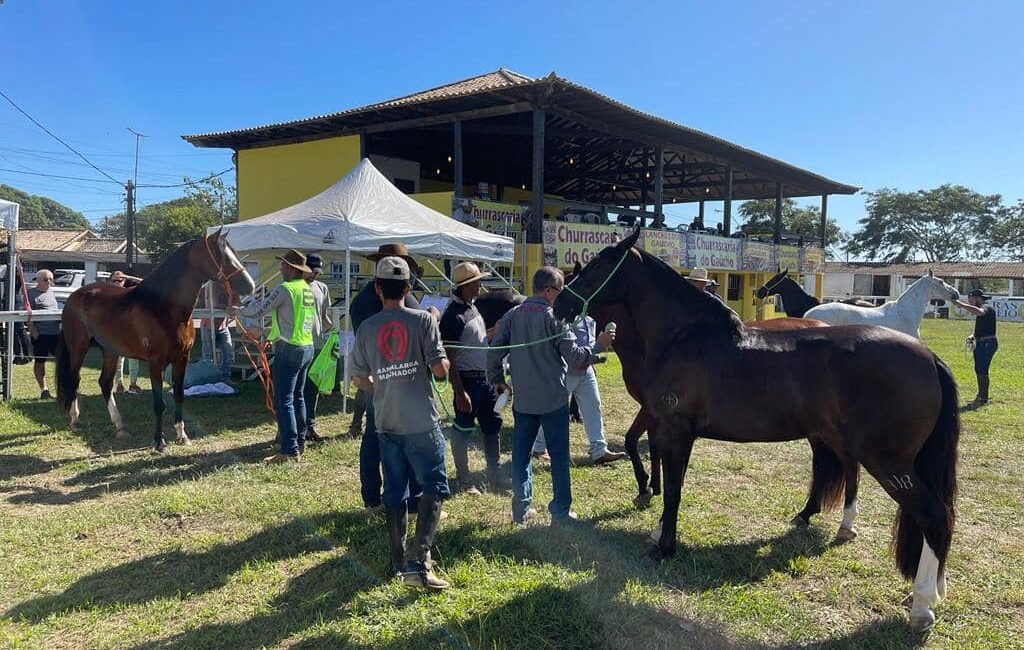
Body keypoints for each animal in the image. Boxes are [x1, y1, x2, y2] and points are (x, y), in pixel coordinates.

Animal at [56, 231, 256, 450]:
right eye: (221, 255)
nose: (250, 286)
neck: (162, 308)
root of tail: (74, 297)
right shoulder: (155, 363)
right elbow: (159, 403)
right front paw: (159, 441)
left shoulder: (181, 359)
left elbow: (179, 395)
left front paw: (182, 435)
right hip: (78, 348)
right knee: (74, 379)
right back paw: (75, 419)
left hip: (110, 351)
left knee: (105, 383)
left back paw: (120, 425)